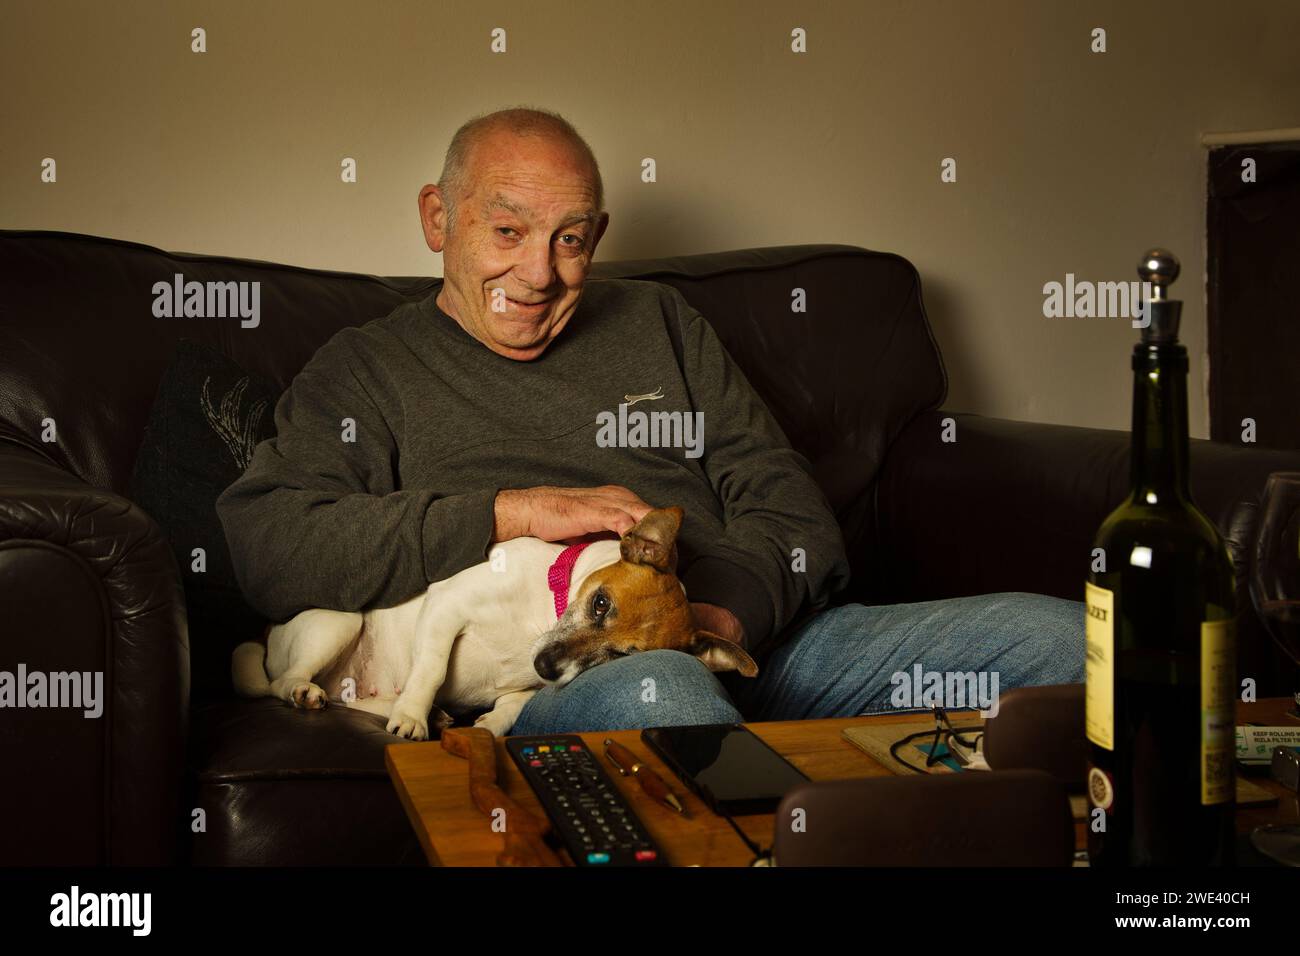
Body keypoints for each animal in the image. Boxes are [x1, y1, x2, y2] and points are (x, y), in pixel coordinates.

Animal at [230, 509, 759, 738]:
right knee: (283, 681)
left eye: (619, 657)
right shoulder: (446, 608)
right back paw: (312, 692)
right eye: (600, 603)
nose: (545, 666)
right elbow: (431, 670)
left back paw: (425, 713)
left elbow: (512, 709)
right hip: (340, 619)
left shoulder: (522, 688)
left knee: (355, 699)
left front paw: (486, 726)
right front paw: (413, 717)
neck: (543, 610)